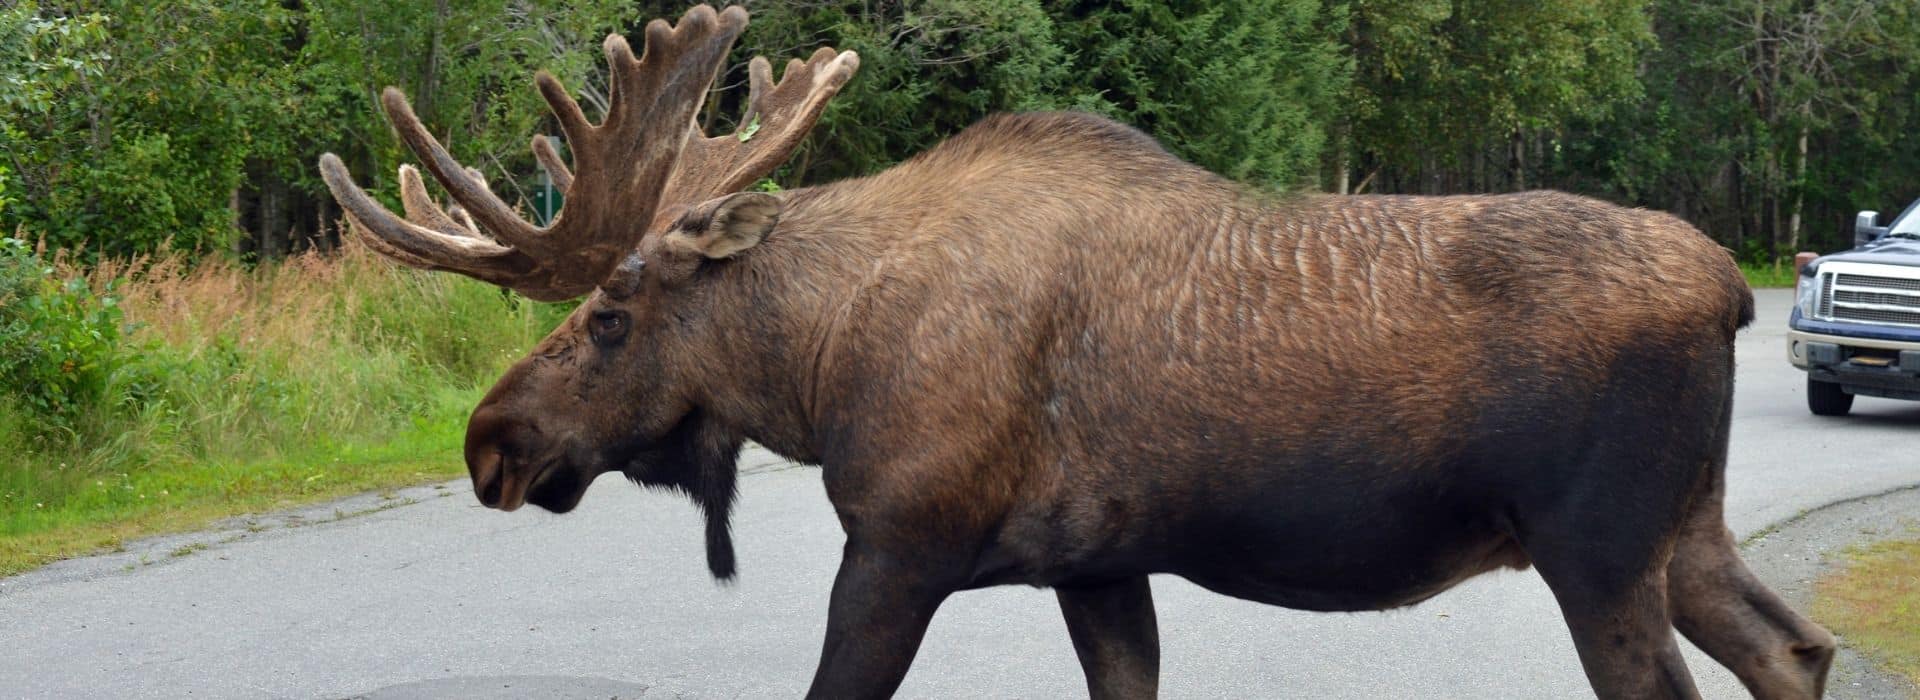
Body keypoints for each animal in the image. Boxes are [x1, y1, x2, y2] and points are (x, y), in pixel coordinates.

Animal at [318, 4, 1843, 694]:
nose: (490, 440)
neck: (817, 367)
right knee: (1796, 649)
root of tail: (1733, 290)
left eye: (612, 312)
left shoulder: (902, 543)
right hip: (1681, 531)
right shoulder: (1099, 565)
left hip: (1594, 548)